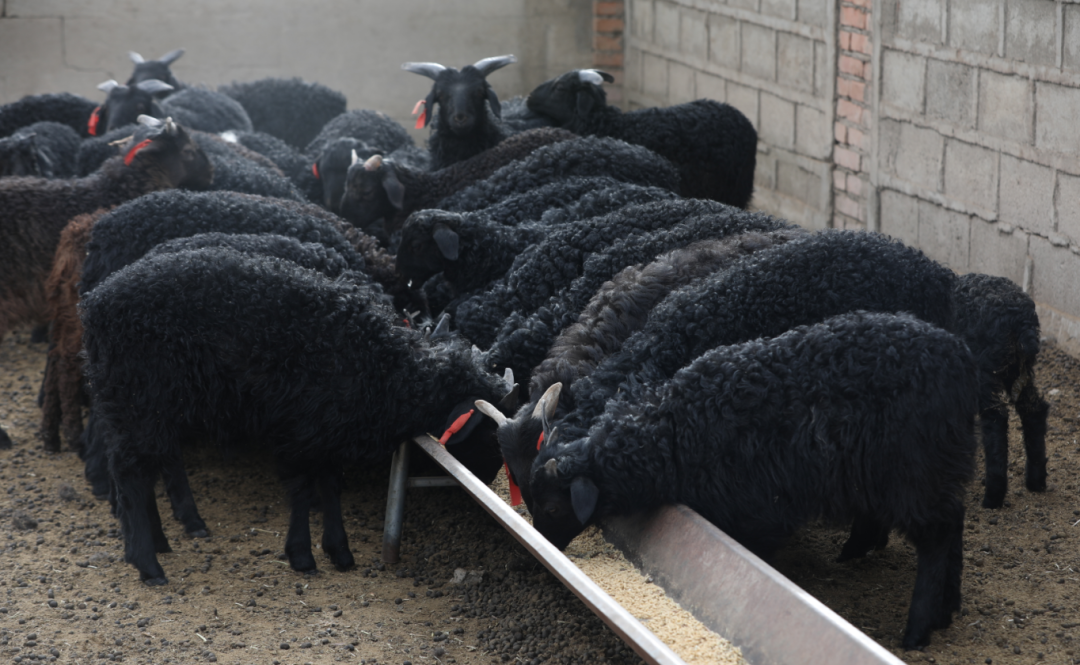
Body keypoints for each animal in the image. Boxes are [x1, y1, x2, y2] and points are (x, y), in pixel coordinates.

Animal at [80, 247, 518, 584]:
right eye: (486, 436)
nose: (485, 483)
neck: (382, 366)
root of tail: (94, 304)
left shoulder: (328, 434)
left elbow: (329, 487)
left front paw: (339, 551)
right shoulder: (301, 431)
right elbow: (303, 490)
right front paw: (303, 555)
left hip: (146, 407)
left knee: (146, 468)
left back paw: (161, 540)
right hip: (139, 398)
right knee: (131, 474)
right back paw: (148, 562)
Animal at [522, 310, 977, 649]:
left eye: (552, 507)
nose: (544, 546)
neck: (673, 433)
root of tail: (961, 360)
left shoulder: (757, 516)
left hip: (912, 471)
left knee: (938, 535)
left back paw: (917, 629)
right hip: (932, 470)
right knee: (953, 521)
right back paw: (946, 609)